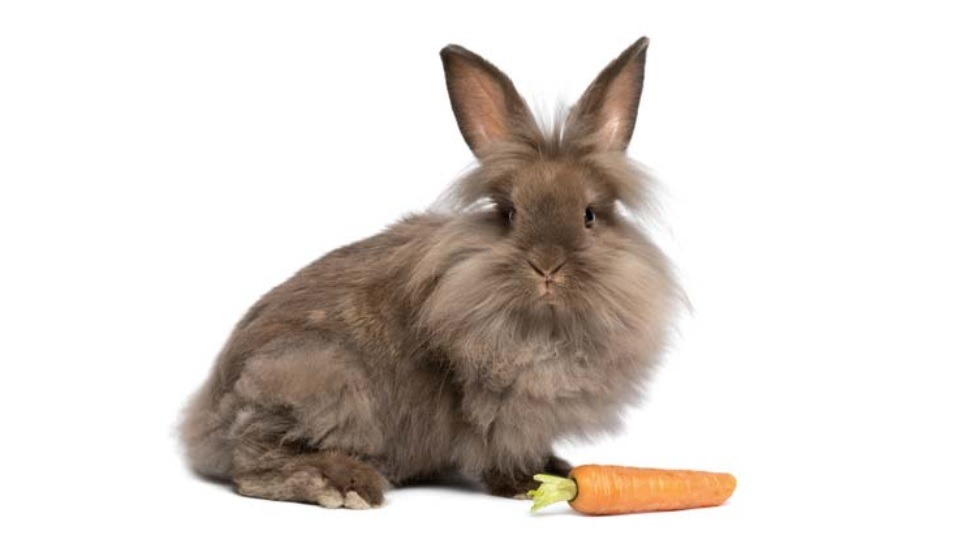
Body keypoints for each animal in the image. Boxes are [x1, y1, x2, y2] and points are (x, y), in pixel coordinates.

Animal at [178, 36, 680, 506]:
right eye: (510, 213)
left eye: (589, 215)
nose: (547, 266)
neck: (545, 325)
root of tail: (203, 423)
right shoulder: (499, 409)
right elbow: (499, 447)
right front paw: (526, 484)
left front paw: (556, 471)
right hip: (316, 377)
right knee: (253, 463)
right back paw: (345, 485)